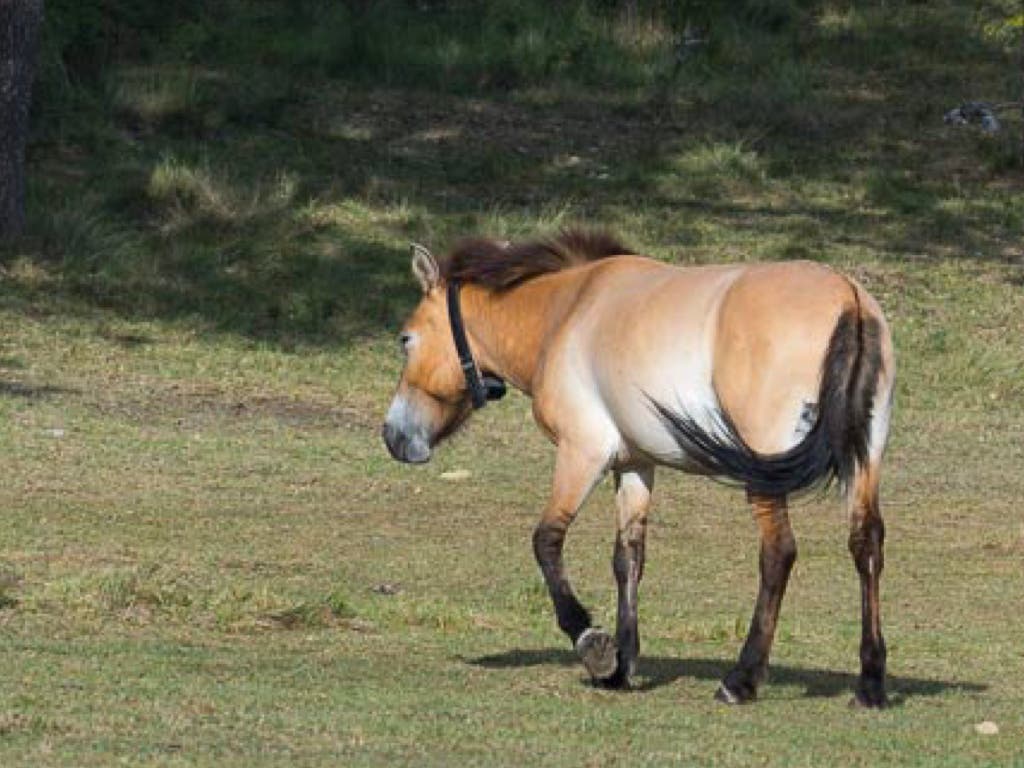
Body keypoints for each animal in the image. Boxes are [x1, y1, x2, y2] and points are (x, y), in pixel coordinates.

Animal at [382, 230, 897, 708]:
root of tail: (846, 297)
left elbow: (546, 541)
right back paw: (870, 684)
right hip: (863, 459)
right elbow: (628, 558)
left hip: (766, 470)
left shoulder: (582, 453)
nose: (392, 436)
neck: (566, 311)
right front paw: (621, 666)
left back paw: (741, 680)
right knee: (865, 544)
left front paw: (593, 645)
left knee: (778, 554)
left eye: (406, 340)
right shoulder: (634, 466)